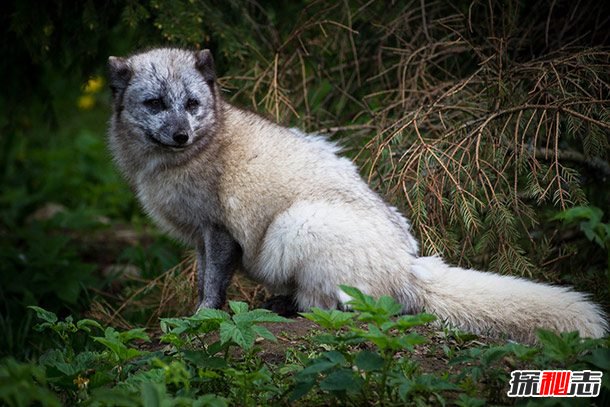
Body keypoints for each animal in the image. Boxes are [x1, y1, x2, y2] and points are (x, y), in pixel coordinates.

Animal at [107, 47, 604, 344]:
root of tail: (408, 268)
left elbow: (212, 288)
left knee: (349, 311)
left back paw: (290, 309)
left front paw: (201, 321)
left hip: (297, 225)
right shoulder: (198, 240)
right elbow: (204, 281)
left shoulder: (219, 231)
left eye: (192, 104)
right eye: (155, 103)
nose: (181, 134)